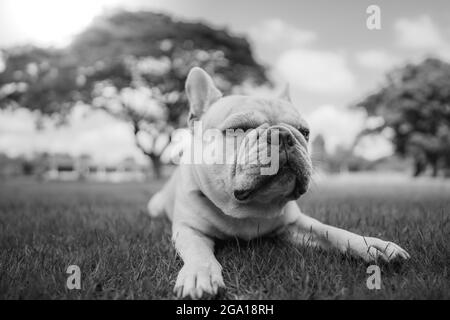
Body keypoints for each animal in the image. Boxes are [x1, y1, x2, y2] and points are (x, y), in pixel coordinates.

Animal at [149, 66, 412, 298]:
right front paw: (199, 275)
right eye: (238, 129)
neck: (249, 209)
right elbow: (198, 252)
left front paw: (371, 245)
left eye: (304, 132)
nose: (283, 135)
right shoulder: (188, 230)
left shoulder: (295, 224)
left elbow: (331, 231)